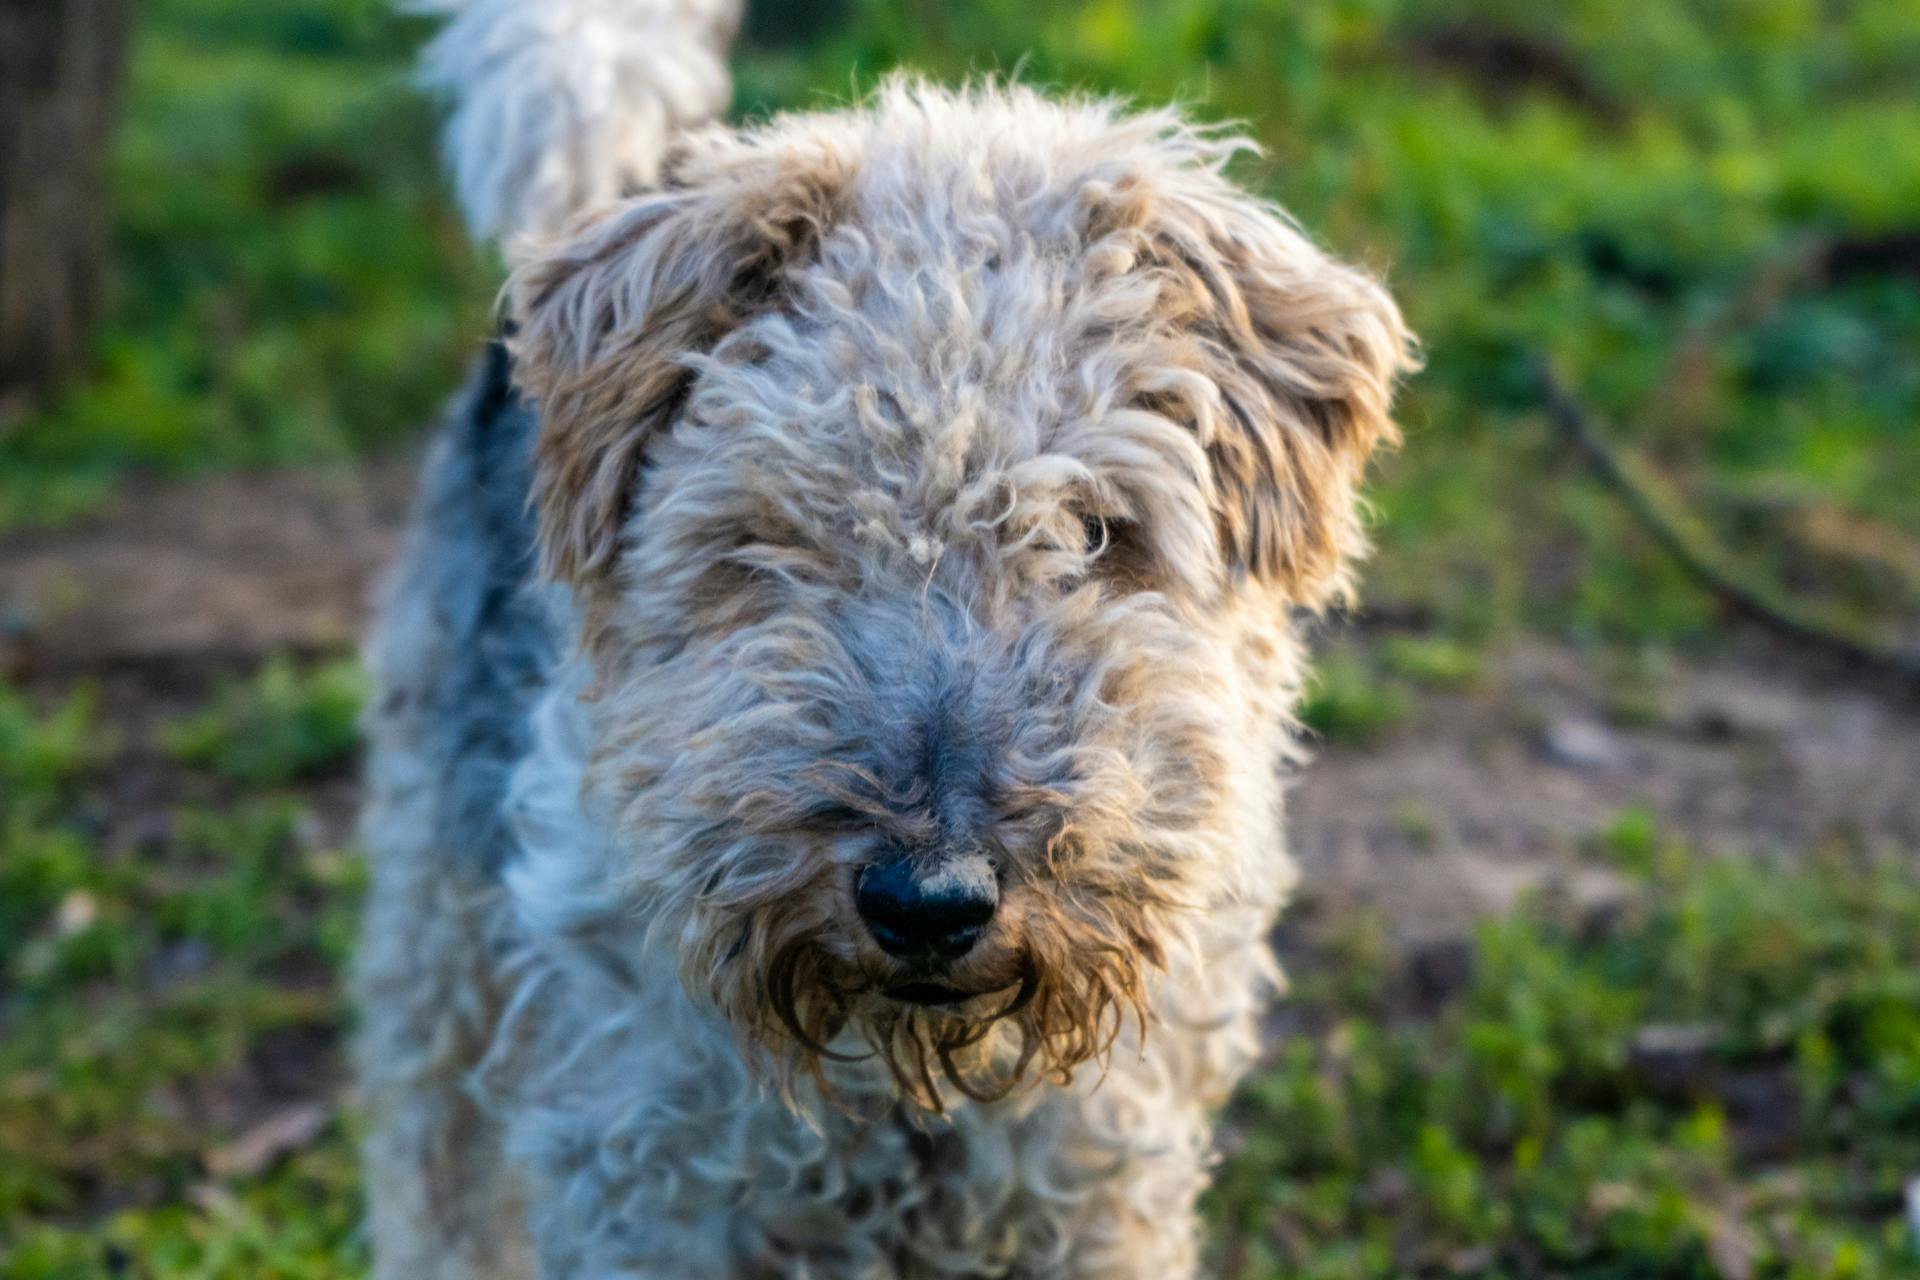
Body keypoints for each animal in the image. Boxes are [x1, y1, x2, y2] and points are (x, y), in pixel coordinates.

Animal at [357, 0, 1413, 1274]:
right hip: (438, 928)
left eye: (1098, 530)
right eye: (776, 538)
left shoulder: (1095, 1191)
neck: (905, 1094)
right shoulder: (653, 1189)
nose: (929, 902)